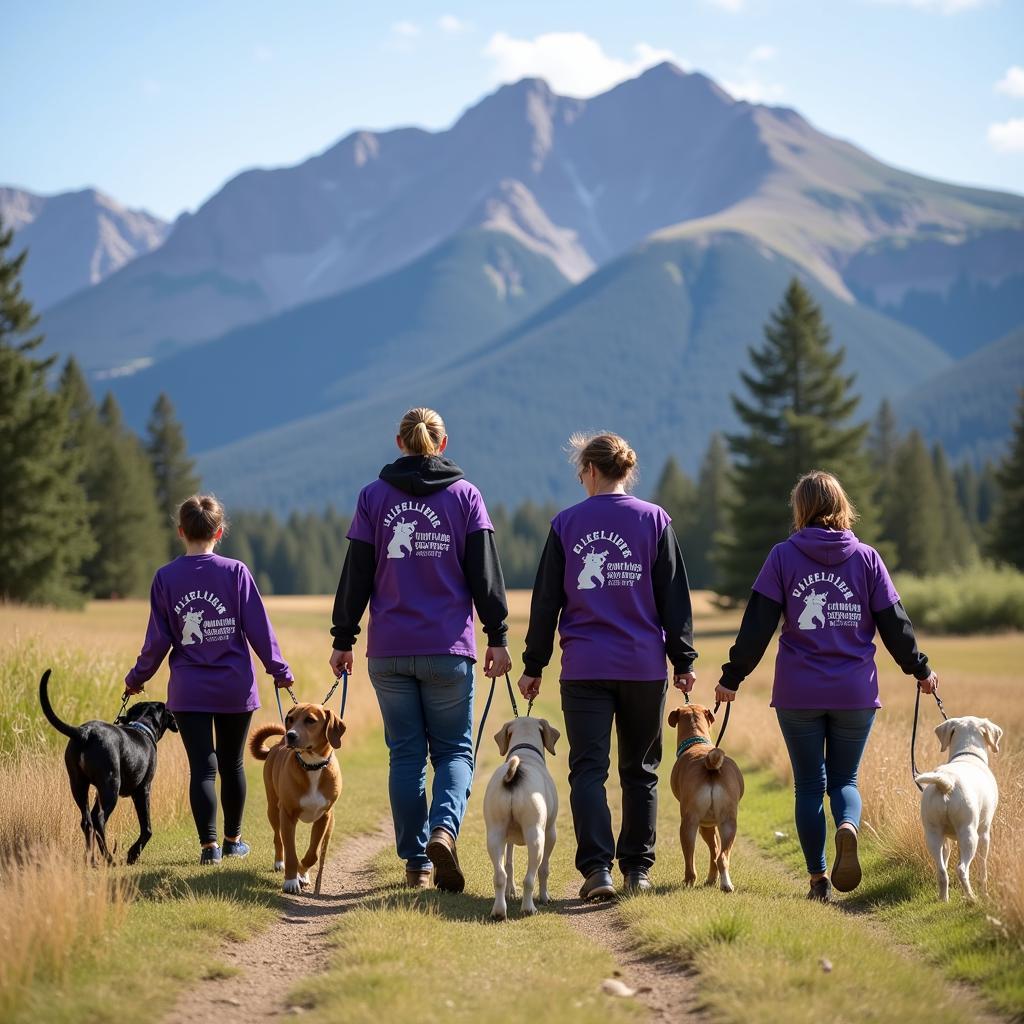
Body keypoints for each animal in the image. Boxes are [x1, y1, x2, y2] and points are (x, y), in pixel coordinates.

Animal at [37, 667, 177, 860]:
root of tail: (85, 733)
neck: (142, 726)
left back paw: (91, 858)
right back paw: (108, 857)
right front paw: (133, 853)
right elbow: (147, 827)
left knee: (87, 821)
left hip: (79, 784)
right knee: (99, 818)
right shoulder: (143, 789)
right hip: (111, 786)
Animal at [248, 704, 346, 897]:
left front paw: (303, 872)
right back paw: (279, 862)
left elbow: (313, 854)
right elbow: (291, 853)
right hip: (273, 809)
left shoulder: (324, 817)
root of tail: (276, 746)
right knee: (277, 838)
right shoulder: (287, 815)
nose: (290, 735)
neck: (312, 765)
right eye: (290, 719)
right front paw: (291, 881)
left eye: (310, 720)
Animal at [481, 716, 561, 925]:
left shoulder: (507, 838)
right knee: (530, 876)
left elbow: (509, 863)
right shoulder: (551, 833)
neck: (525, 751)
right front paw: (545, 897)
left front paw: (510, 891)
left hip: (495, 834)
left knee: (499, 874)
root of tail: (515, 773)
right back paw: (528, 907)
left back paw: (499, 911)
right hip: (536, 837)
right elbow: (544, 869)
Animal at [663, 704, 745, 888]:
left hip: (689, 824)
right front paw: (712, 879)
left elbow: (711, 851)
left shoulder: (705, 826)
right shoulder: (711, 825)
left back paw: (688, 880)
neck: (697, 741)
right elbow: (715, 852)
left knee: (690, 858)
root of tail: (711, 767)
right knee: (722, 857)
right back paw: (726, 885)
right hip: (728, 823)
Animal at [921, 716, 999, 901]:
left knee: (942, 871)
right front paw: (985, 894)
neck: (967, 754)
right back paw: (972, 898)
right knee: (962, 869)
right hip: (969, 835)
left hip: (933, 835)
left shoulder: (947, 839)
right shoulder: (984, 833)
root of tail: (946, 783)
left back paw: (944, 899)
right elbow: (983, 869)